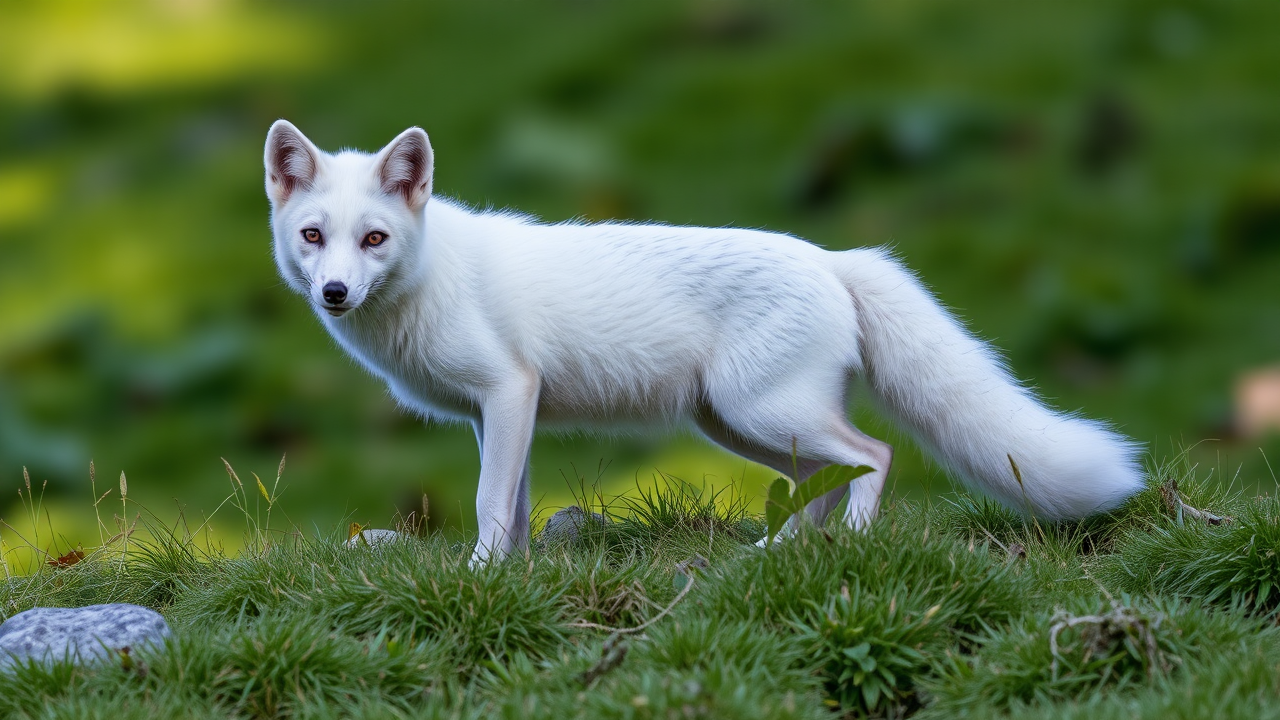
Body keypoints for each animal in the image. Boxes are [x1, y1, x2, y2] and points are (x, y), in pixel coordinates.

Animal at [264, 120, 1146, 563]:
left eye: (374, 239)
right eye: (313, 236)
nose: (335, 293)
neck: (432, 274)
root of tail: (832, 257)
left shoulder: (510, 391)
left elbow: (486, 503)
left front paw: (481, 578)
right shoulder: (501, 413)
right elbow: (508, 506)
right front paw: (509, 576)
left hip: (759, 413)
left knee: (874, 455)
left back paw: (852, 546)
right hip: (736, 423)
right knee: (824, 478)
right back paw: (776, 553)